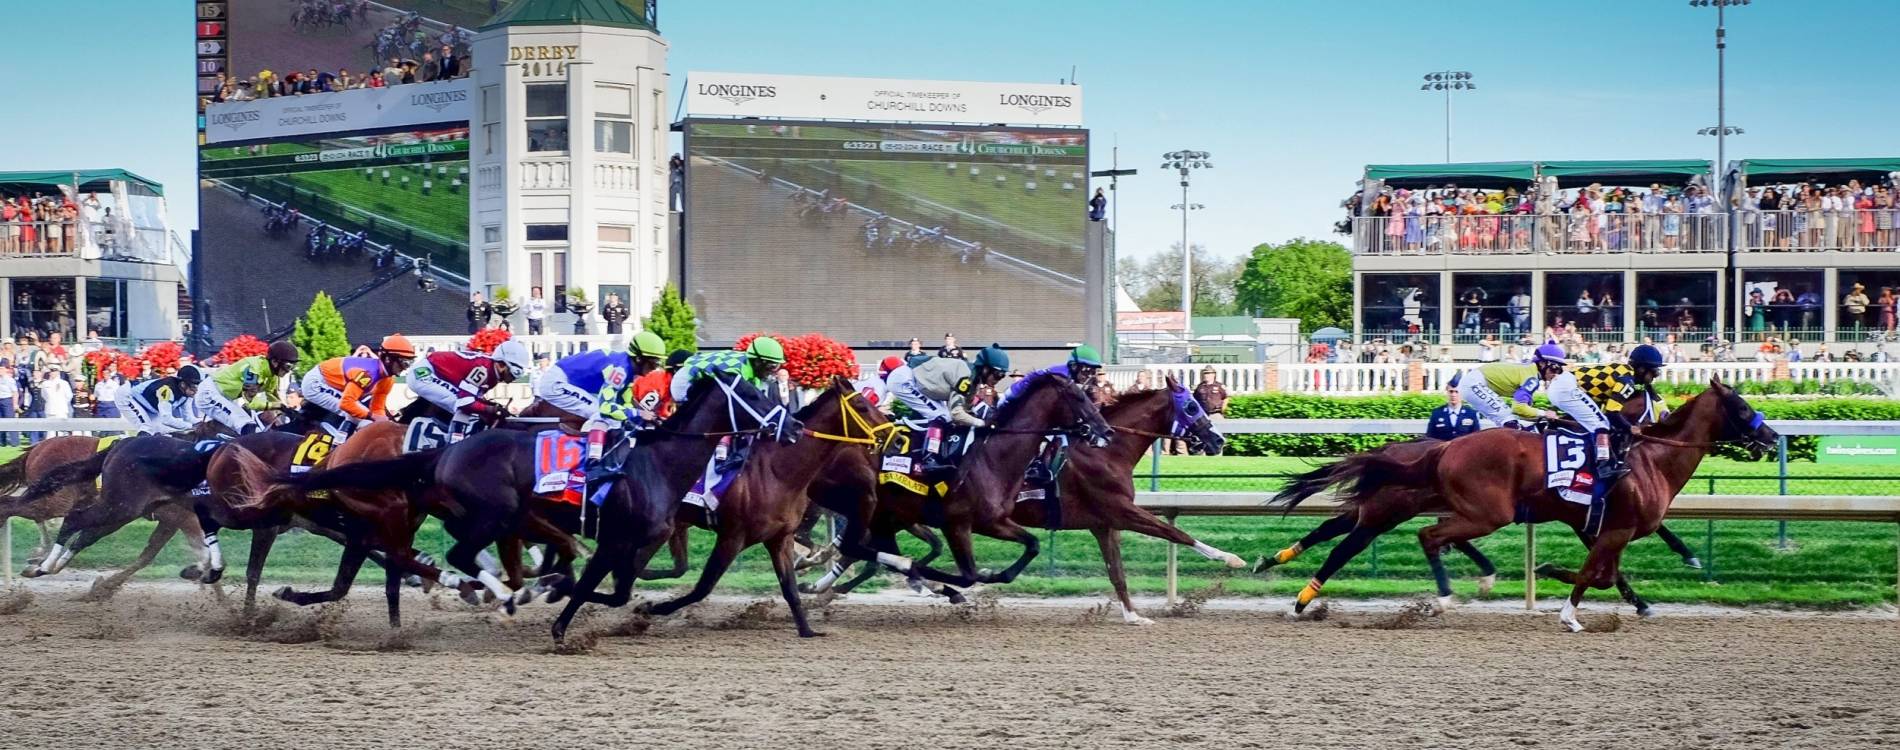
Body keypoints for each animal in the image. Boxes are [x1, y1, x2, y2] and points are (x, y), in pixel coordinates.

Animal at [1269, 379, 1770, 630]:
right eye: (1743, 409)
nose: (1768, 437)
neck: (1645, 456)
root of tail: (1443, 449)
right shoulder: (1612, 527)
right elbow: (1596, 574)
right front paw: (1566, 607)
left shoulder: (1601, 526)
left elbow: (1607, 574)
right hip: (1470, 511)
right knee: (1400, 538)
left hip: (1419, 506)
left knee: (1345, 530)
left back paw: (1283, 569)